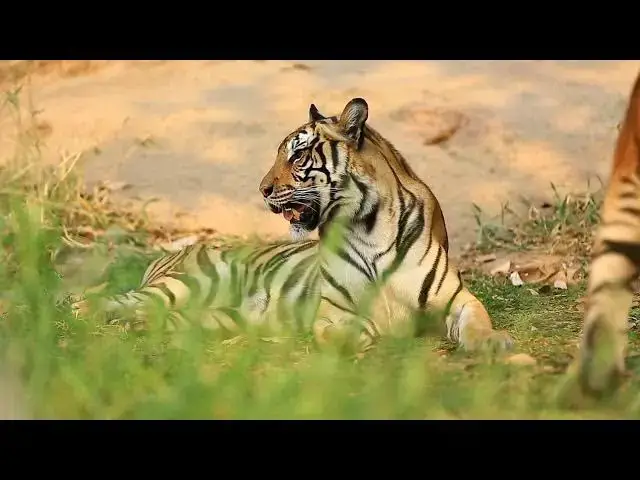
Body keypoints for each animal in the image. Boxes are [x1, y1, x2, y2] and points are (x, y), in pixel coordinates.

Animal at [74, 98, 514, 354]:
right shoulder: (331, 313)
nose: (263, 189)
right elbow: (349, 329)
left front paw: (496, 343)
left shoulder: (457, 298)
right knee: (103, 300)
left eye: (298, 155)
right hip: (183, 285)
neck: (367, 225)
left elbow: (477, 322)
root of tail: (174, 251)